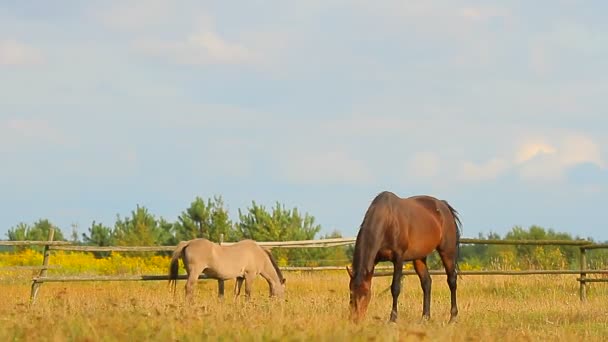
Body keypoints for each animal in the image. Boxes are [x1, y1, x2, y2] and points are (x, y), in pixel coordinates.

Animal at [346, 192, 460, 324]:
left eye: (366, 293)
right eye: (351, 293)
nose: (355, 319)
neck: (387, 220)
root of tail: (443, 206)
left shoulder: (398, 259)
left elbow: (395, 288)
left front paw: (393, 319)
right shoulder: (373, 261)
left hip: (447, 251)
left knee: (452, 280)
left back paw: (453, 318)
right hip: (419, 258)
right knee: (426, 283)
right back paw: (425, 317)